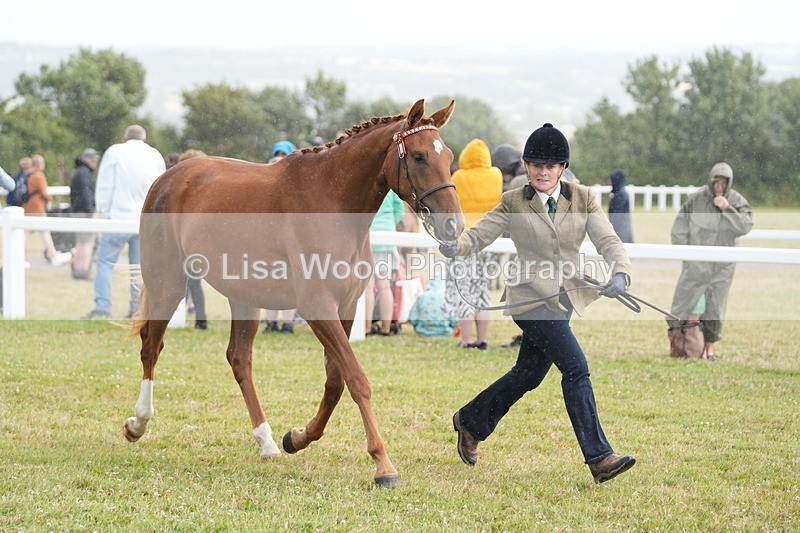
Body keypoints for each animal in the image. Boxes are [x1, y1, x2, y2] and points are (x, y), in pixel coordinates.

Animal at [125, 99, 464, 488]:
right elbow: (356, 379)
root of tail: (168, 177)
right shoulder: (317, 307)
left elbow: (335, 382)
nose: (454, 224)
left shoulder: (346, 307)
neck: (332, 202)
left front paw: (298, 437)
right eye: (420, 156)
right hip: (167, 282)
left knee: (239, 359)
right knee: (152, 346)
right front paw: (383, 464)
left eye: (448, 155)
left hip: (243, 297)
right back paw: (138, 423)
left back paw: (267, 441)